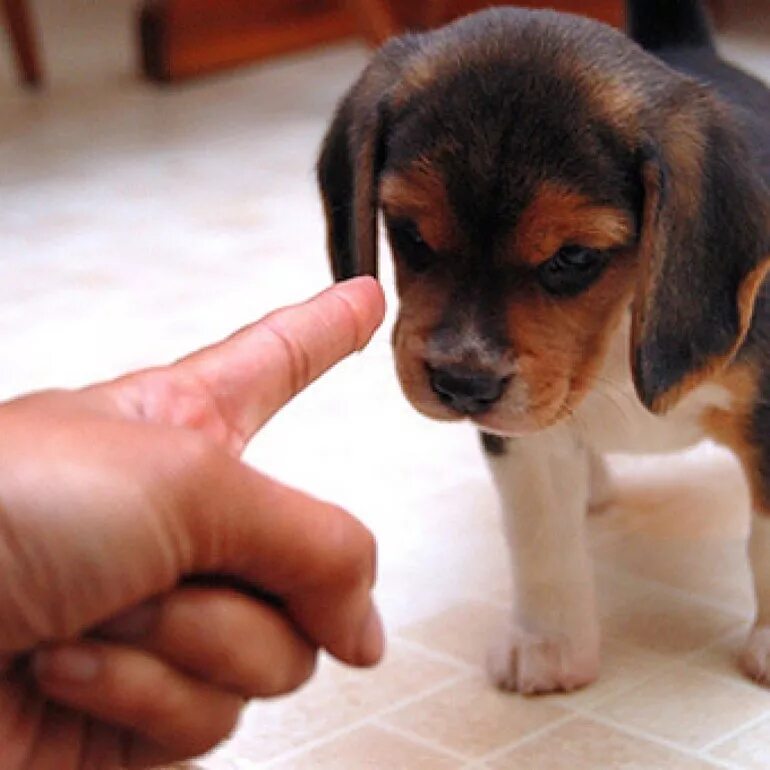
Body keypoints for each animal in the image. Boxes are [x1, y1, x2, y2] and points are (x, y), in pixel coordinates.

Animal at [316, 0, 768, 692]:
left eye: (573, 258)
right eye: (411, 233)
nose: (462, 384)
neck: (616, 326)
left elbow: (765, 545)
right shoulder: (525, 443)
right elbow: (542, 542)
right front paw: (550, 645)